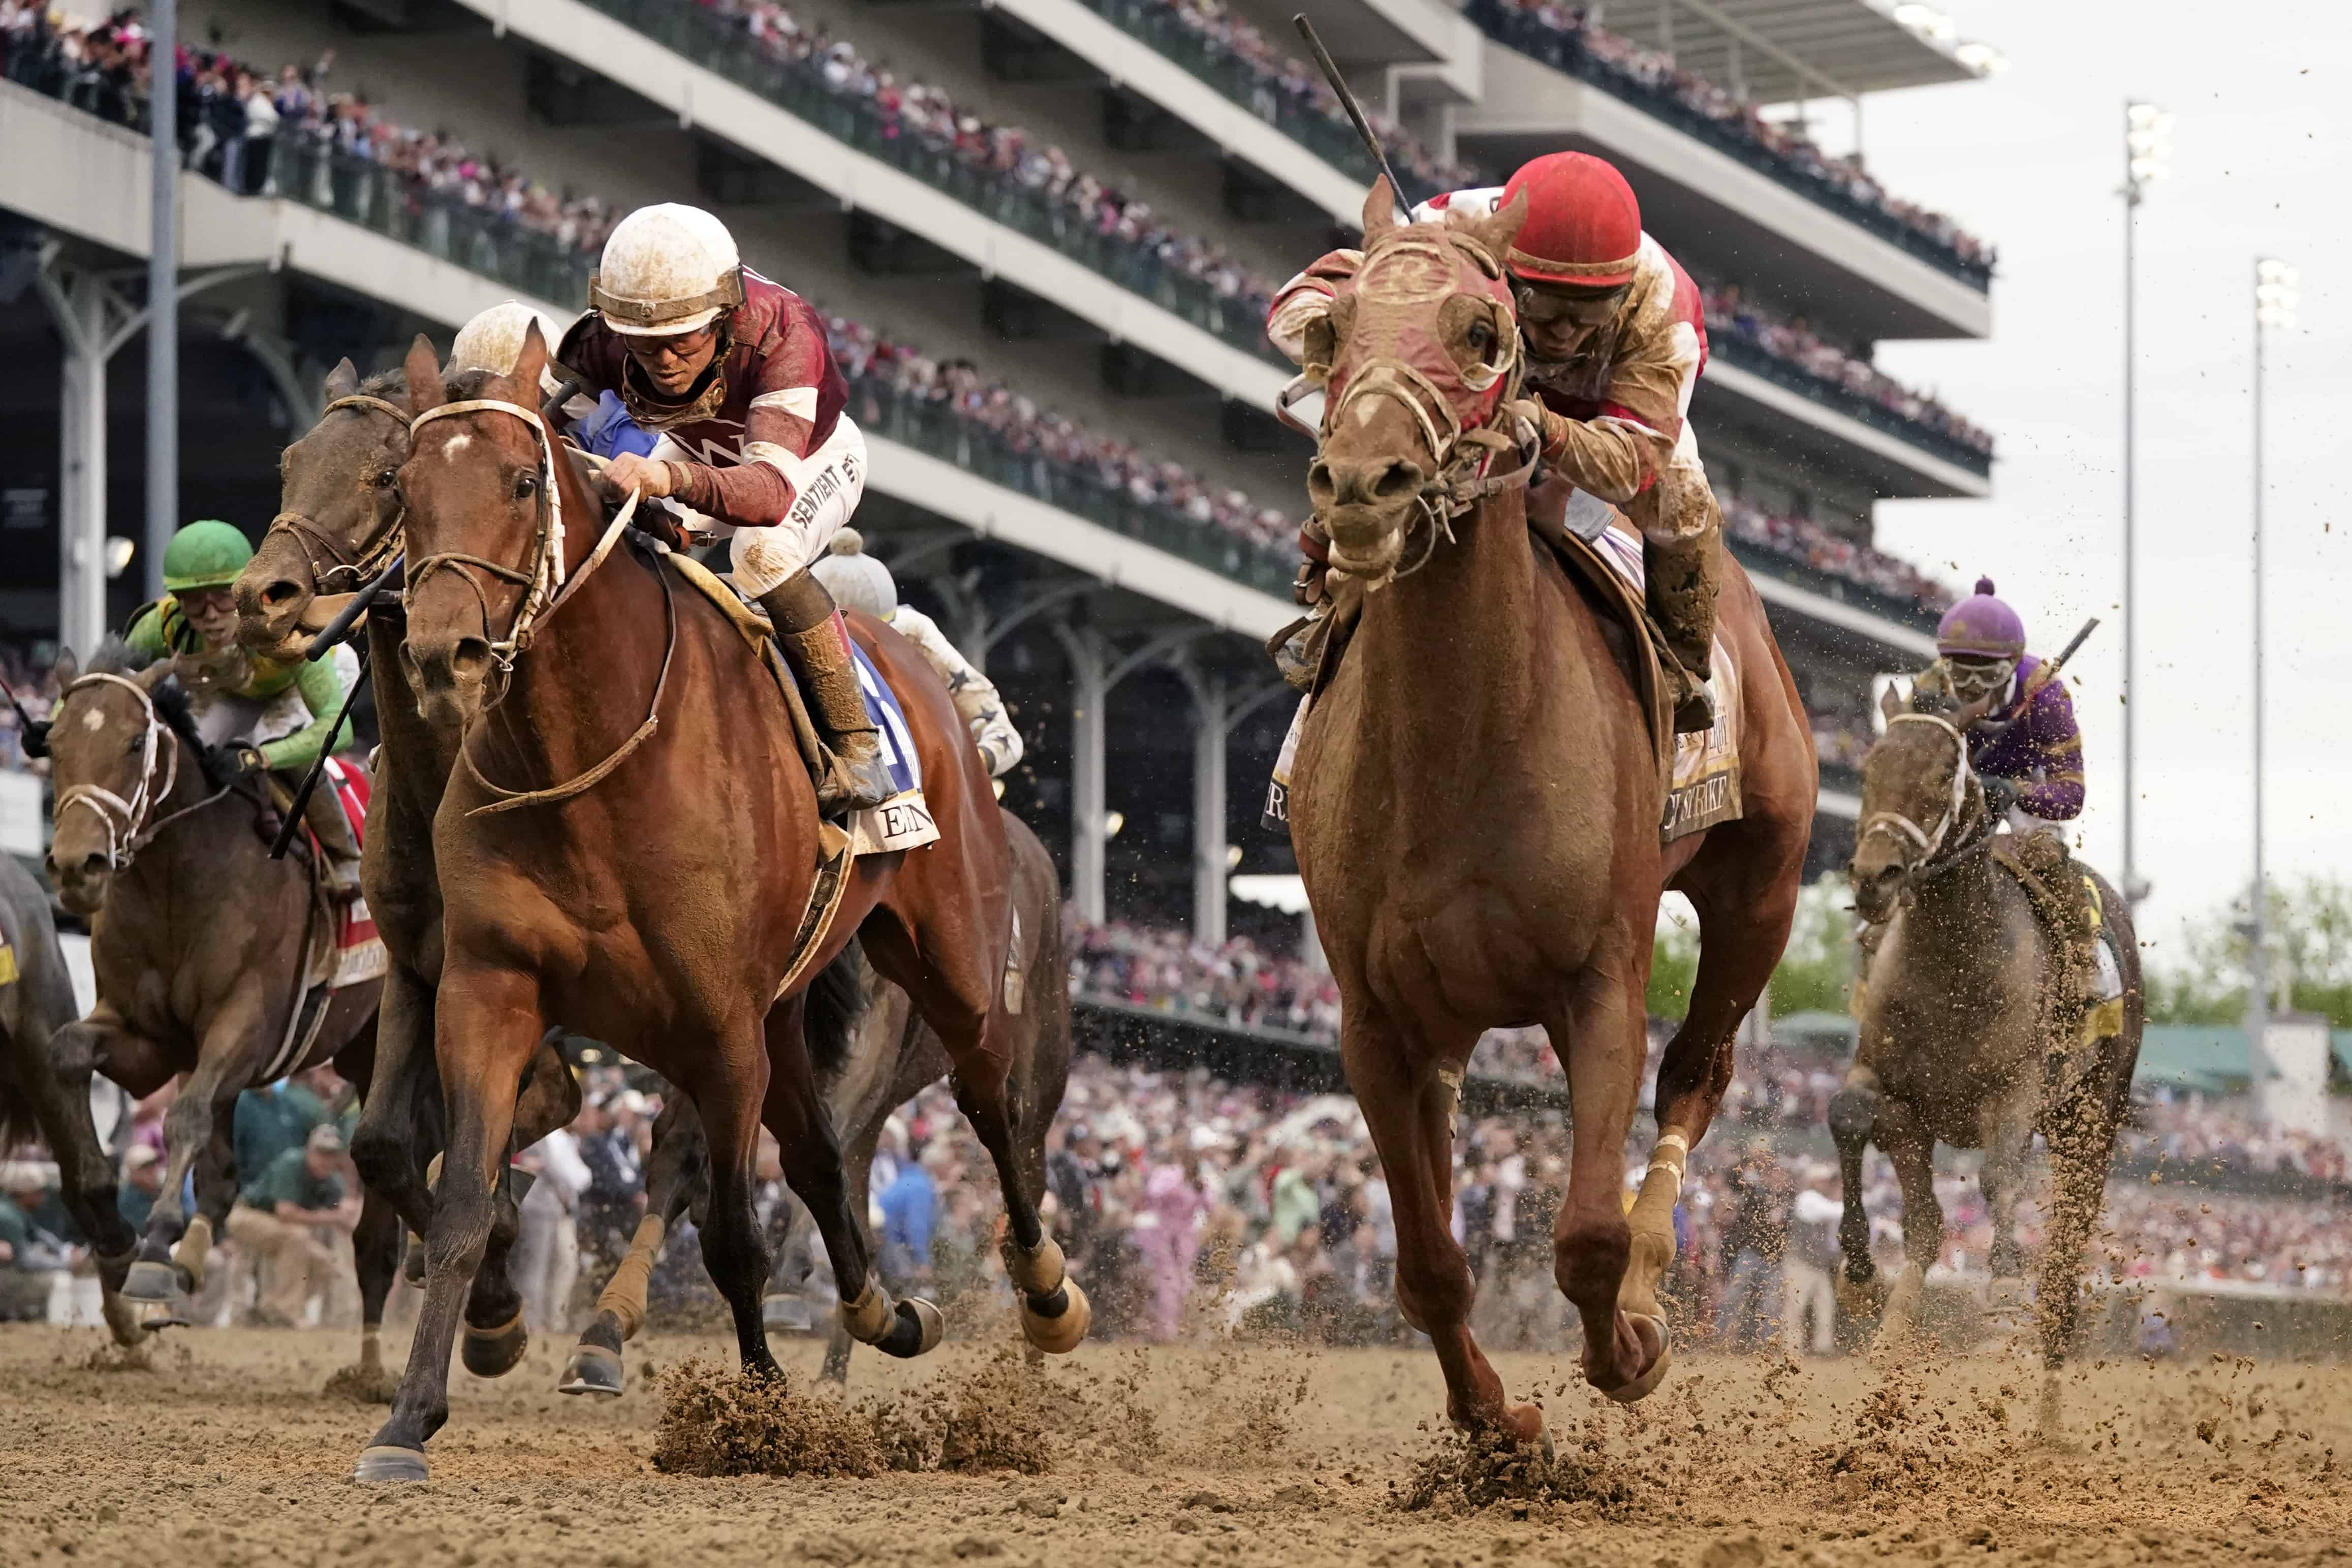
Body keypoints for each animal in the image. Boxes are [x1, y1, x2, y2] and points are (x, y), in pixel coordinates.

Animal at [36, 639, 395, 1363]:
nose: (78, 865)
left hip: (381, 1048)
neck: (178, 878)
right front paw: (112, 1232)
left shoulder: (246, 1022)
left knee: (382, 1217)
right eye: (54, 742)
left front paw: (152, 1248)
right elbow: (66, 1053)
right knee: (227, 1179)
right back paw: (190, 1269)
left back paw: (373, 1361)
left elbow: (186, 1117)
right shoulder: (148, 1037)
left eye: (135, 740)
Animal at [360, 331, 1082, 1486]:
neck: (591, 757)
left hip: (952, 970)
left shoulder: (716, 1028)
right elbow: (464, 1192)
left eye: (520, 482)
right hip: (788, 1008)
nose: (443, 655)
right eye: (403, 489)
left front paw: (761, 1415)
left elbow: (730, 1229)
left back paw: (1046, 1294)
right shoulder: (484, 984)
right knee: (825, 1158)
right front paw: (410, 1416)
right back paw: (884, 1312)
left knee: (992, 1109)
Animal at [1289, 177, 1815, 1438]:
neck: (1459, 743)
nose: (1359, 487)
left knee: (1697, 1073)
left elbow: (1582, 1235)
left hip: (1762, 890)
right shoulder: (1371, 1016)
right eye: (1338, 330)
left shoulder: (1600, 979)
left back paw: (1655, 1269)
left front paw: (1627, 1342)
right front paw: (1493, 1421)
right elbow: (1427, 1261)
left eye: (1483, 333)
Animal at [1834, 681, 2154, 1382]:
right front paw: (1862, 1278)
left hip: (2091, 1118)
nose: (1874, 877)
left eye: (1940, 776)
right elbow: (1852, 1125)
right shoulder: (1892, 1090)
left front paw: (2003, 1303)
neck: (1952, 967)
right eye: (1868, 768)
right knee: (1928, 1224)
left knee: (2067, 1246)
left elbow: (2001, 1177)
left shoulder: (2014, 1091)